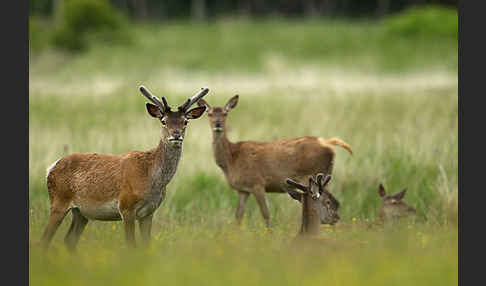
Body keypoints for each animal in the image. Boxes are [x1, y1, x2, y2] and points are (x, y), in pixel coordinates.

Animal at [39, 85, 209, 250]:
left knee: (69, 240)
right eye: (163, 121)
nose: (176, 135)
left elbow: (146, 246)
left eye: (185, 121)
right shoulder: (126, 206)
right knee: (45, 239)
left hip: (81, 212)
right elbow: (131, 246)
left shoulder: (149, 212)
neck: (151, 178)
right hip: (58, 200)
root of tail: (51, 168)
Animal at [197, 95, 354, 228]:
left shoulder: (257, 183)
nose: (217, 124)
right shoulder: (243, 189)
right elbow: (238, 216)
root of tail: (327, 143)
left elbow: (265, 214)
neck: (231, 159)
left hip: (313, 174)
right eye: (209, 113)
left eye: (225, 113)